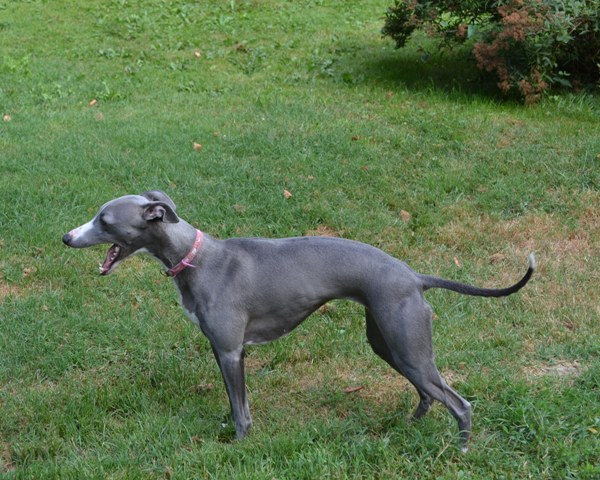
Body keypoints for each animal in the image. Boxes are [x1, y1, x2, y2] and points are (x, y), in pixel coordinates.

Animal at [64, 190, 536, 450]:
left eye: (104, 220)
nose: (66, 237)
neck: (195, 257)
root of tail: (414, 276)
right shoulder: (223, 351)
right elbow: (235, 404)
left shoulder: (230, 351)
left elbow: (241, 410)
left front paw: (238, 445)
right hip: (390, 344)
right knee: (427, 394)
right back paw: (408, 426)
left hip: (407, 345)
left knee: (458, 403)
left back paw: (461, 451)